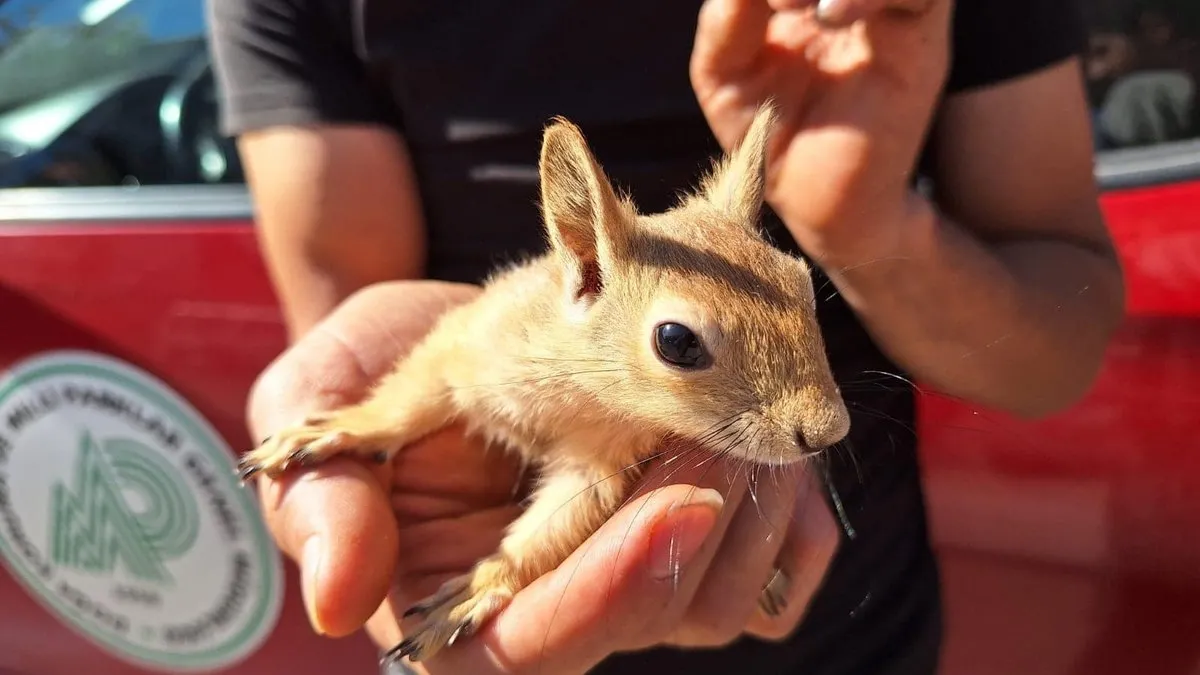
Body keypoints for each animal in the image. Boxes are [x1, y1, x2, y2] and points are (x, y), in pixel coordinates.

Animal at [236, 103, 854, 662]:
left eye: (801, 283)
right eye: (676, 341)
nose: (829, 431)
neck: (582, 391)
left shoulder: (602, 461)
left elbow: (558, 523)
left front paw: (478, 587)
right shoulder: (469, 341)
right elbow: (409, 397)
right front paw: (343, 427)